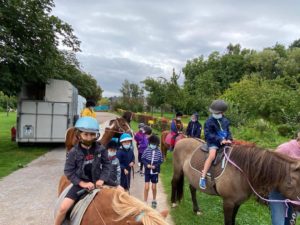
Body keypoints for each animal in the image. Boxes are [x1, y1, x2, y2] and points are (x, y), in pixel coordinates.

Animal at [170, 138, 300, 224]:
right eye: (290, 183)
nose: (298, 207)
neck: (241, 173)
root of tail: (182, 140)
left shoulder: (238, 202)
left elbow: (233, 220)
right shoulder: (228, 203)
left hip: (193, 177)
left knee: (192, 189)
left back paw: (196, 210)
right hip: (177, 170)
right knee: (174, 183)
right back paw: (173, 202)